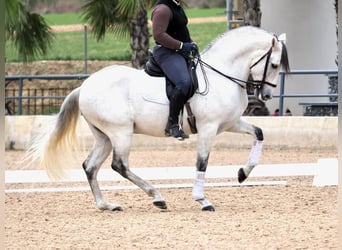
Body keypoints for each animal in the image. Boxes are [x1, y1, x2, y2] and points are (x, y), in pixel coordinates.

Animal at [28, 26, 288, 211]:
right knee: (119, 165)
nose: (266, 95)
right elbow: (202, 163)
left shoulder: (230, 123)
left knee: (90, 166)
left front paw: (243, 173)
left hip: (104, 136)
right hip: (121, 132)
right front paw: (202, 200)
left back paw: (106, 205)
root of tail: (84, 86)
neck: (222, 75)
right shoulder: (209, 128)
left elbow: (259, 133)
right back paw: (157, 197)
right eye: (274, 65)